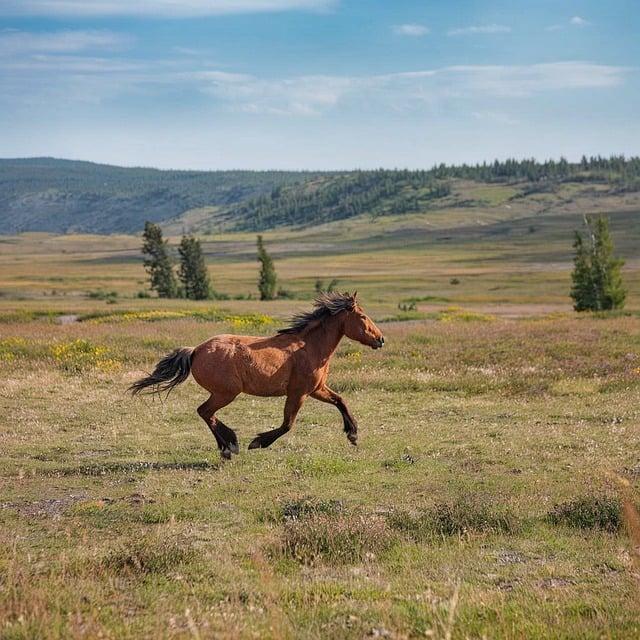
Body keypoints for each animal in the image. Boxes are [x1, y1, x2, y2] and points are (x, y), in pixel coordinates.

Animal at [127, 292, 382, 458]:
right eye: (363, 317)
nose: (381, 339)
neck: (309, 347)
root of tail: (196, 350)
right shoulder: (298, 393)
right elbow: (288, 424)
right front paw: (258, 442)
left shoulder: (316, 389)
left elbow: (340, 401)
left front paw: (353, 434)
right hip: (226, 393)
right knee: (205, 412)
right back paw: (229, 447)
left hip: (224, 393)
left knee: (206, 413)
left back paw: (228, 445)